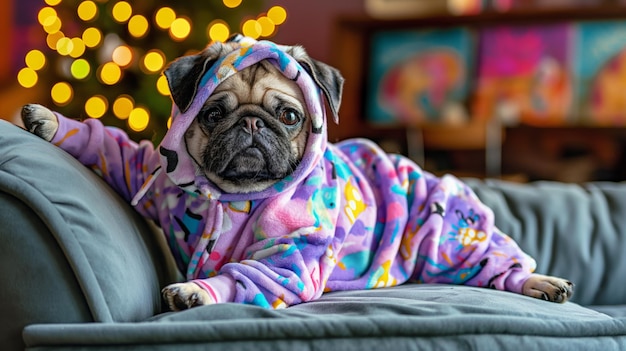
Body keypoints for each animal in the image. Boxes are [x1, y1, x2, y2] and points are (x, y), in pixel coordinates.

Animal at [20, 35, 572, 310]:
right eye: (212, 113)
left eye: (287, 116)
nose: (251, 124)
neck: (234, 194)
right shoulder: (155, 175)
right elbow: (118, 150)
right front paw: (50, 121)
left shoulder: (294, 248)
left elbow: (257, 273)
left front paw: (199, 290)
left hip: (448, 237)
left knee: (490, 263)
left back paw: (537, 281)